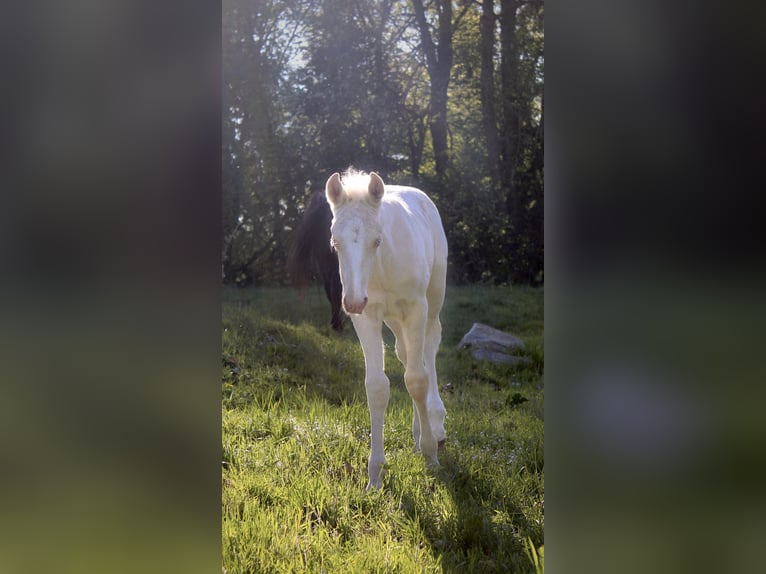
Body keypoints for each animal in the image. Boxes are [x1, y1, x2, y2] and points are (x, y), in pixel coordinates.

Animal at [325, 169, 448, 489]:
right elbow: (377, 387)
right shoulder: (367, 316)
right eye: (335, 243)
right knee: (405, 354)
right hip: (393, 318)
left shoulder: (416, 307)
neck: (381, 268)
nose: (353, 301)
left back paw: (436, 426)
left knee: (428, 351)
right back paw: (418, 432)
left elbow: (417, 380)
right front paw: (375, 475)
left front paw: (430, 453)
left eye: (377, 241)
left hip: (433, 299)